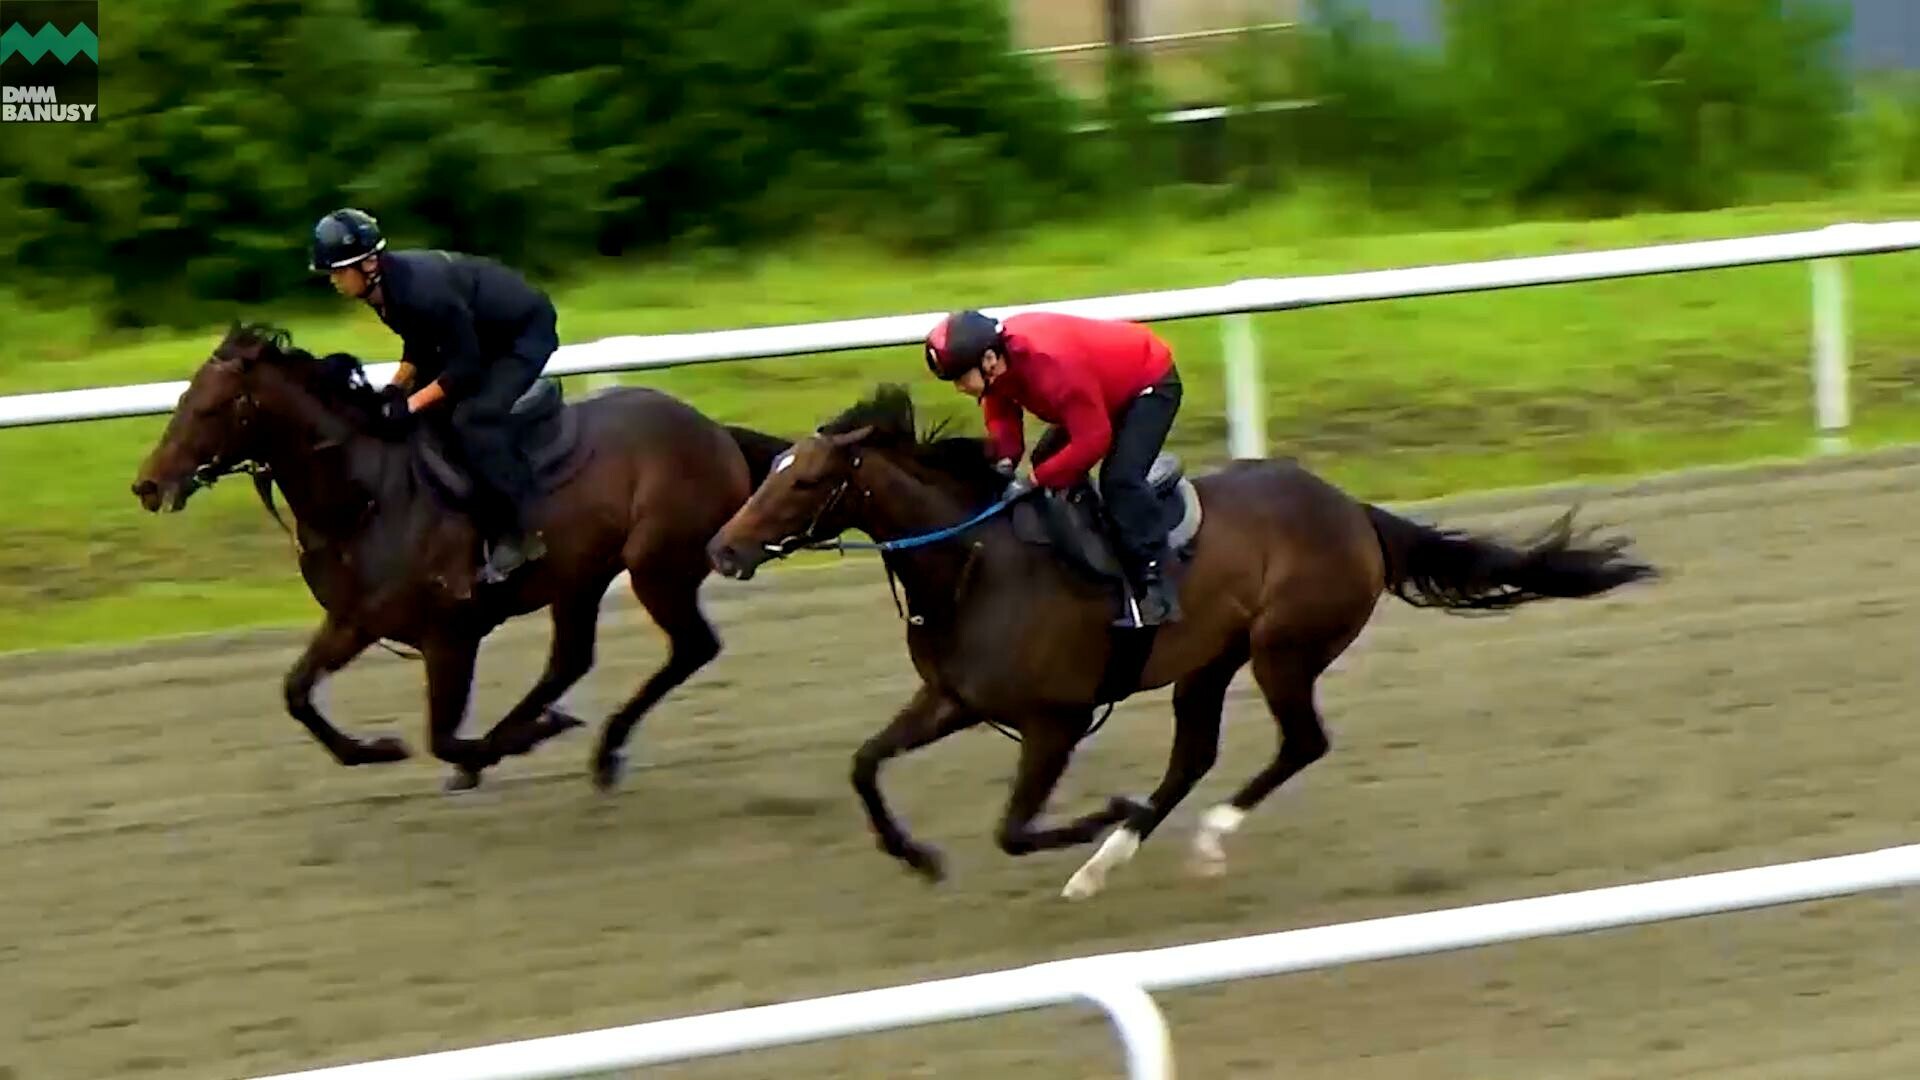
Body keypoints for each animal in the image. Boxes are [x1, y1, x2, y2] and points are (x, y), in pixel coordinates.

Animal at [133, 315, 787, 787]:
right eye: (182, 398)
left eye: (209, 407)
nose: (147, 485)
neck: (364, 495)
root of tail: (715, 432)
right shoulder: (355, 621)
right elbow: (296, 693)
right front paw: (375, 750)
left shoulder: (450, 633)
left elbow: (442, 737)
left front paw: (506, 745)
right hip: (582, 578)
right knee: (570, 660)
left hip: (658, 567)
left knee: (691, 647)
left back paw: (599, 748)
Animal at [706, 382, 1651, 895]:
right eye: (775, 467)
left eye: (810, 481)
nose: (722, 548)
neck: (974, 563)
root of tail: (1354, 511)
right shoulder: (951, 697)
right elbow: (863, 764)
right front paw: (918, 855)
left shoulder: (1054, 718)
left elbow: (1014, 827)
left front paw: (1104, 813)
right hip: (1211, 660)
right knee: (1196, 754)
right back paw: (1109, 861)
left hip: (1284, 649)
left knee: (1300, 742)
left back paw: (1191, 839)